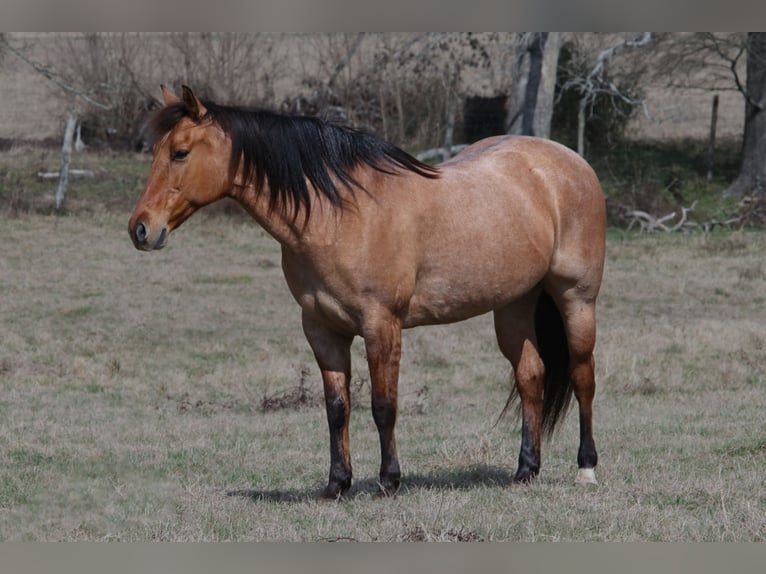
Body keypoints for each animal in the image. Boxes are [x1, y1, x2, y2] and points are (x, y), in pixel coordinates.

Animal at [130, 85, 608, 500]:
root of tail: (569, 161)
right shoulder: (322, 329)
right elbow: (336, 408)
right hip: (513, 304)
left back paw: (586, 468)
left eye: (180, 152)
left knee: (583, 375)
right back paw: (526, 470)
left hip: (576, 299)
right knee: (531, 375)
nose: (140, 229)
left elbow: (383, 405)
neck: (338, 214)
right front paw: (336, 485)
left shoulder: (382, 325)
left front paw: (389, 481)